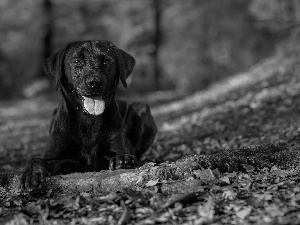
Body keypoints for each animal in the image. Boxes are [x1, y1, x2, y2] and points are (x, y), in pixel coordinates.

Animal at [21, 40, 157, 190]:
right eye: (77, 61)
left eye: (106, 61)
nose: (95, 82)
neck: (89, 121)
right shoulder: (55, 157)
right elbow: (36, 160)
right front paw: (32, 175)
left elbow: (122, 155)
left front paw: (123, 159)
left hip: (141, 108)